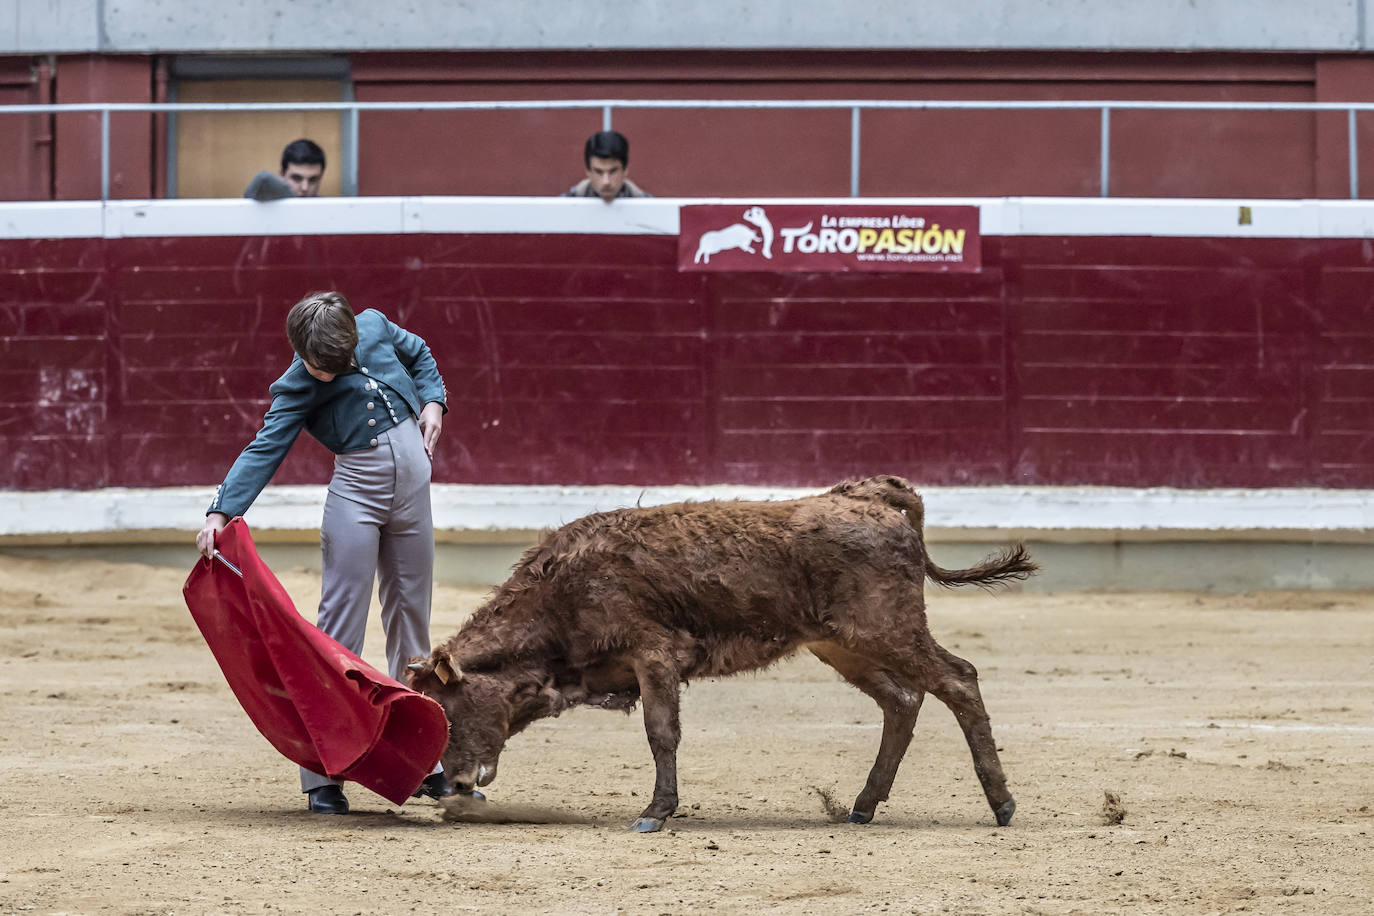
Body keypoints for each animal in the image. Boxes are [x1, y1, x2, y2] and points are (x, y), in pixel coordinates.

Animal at [406, 477, 1033, 834]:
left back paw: (1001, 804)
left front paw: (656, 812)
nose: (450, 785)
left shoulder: (654, 653)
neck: (560, 592)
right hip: (842, 644)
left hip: (888, 629)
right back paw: (863, 805)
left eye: (449, 710)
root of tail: (866, 497)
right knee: (903, 700)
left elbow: (661, 733)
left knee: (958, 680)